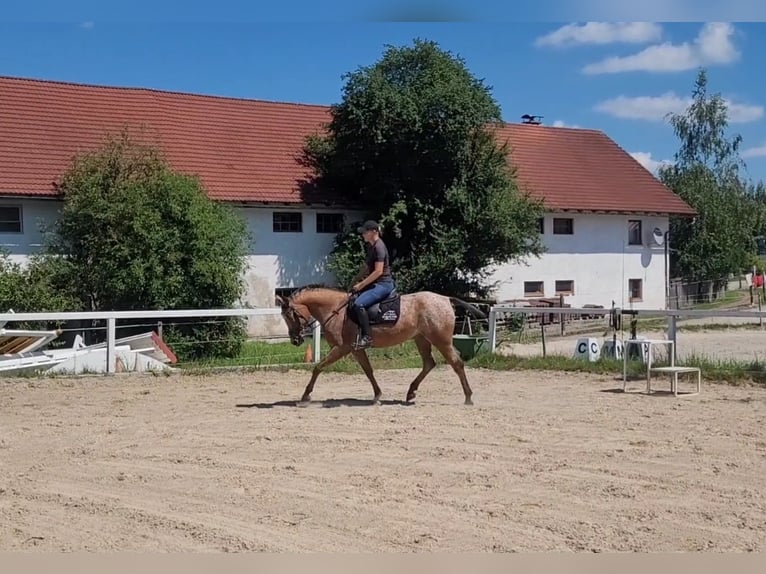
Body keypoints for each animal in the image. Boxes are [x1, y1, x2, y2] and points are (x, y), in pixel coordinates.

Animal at [276, 286, 486, 408]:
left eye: (289, 315)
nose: (295, 340)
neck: (336, 310)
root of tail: (445, 299)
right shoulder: (356, 348)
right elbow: (368, 371)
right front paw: (377, 396)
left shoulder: (342, 348)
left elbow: (317, 368)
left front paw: (305, 396)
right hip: (421, 339)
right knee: (429, 363)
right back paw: (410, 392)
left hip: (441, 340)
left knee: (456, 364)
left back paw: (468, 398)